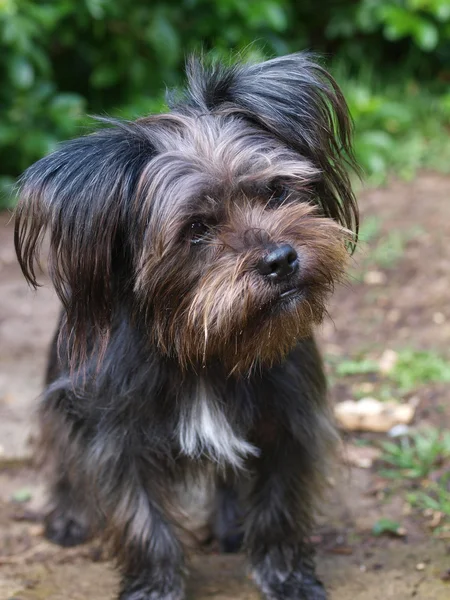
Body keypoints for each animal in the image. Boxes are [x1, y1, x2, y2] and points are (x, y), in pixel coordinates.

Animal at [14, 52, 358, 600]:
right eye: (196, 228)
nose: (281, 260)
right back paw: (69, 517)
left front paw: (286, 576)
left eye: (277, 190)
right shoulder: (116, 438)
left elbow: (279, 505)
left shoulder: (288, 420)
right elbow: (142, 521)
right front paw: (154, 585)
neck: (203, 344)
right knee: (62, 456)